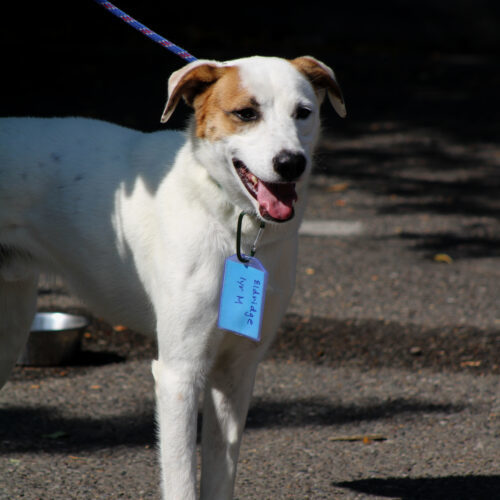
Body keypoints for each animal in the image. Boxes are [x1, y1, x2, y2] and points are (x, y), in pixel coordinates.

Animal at [0, 55, 344, 500]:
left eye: (303, 112)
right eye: (245, 114)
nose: (291, 163)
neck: (230, 221)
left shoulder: (236, 372)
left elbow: (220, 473)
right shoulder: (179, 373)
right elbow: (181, 479)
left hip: (11, 326)